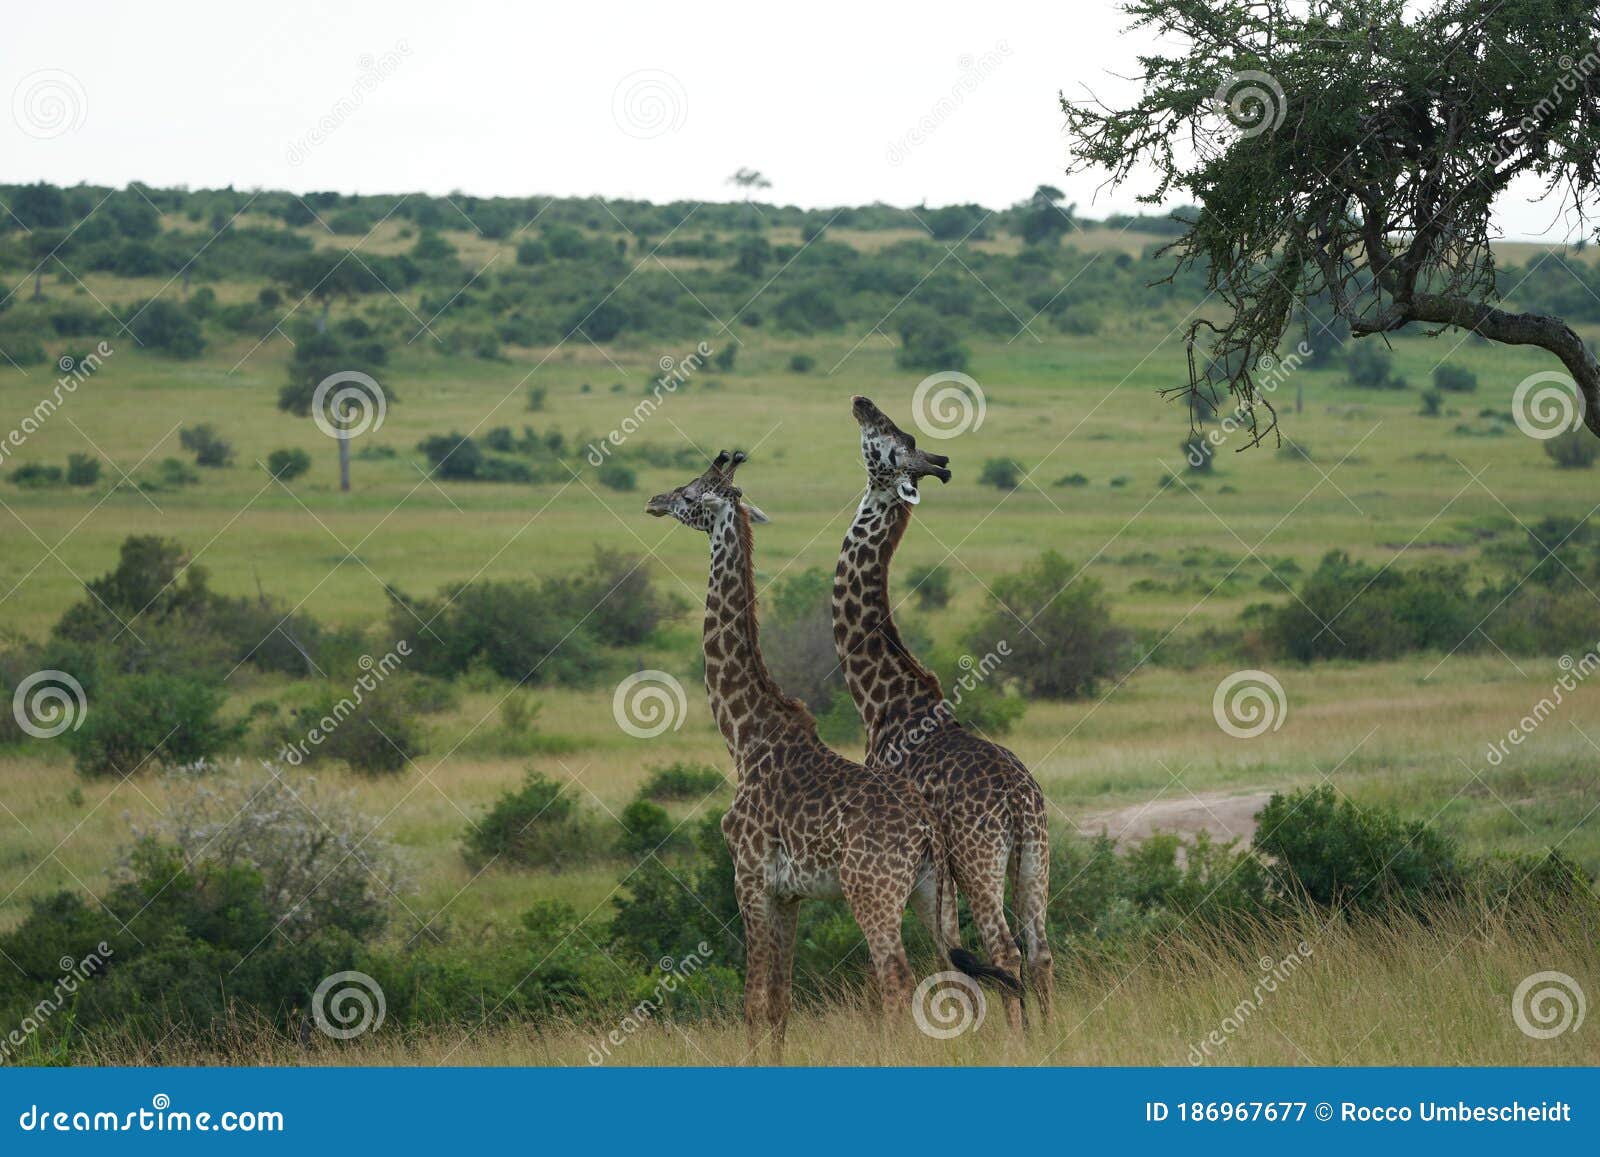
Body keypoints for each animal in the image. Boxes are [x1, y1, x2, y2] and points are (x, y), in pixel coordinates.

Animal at [646, 451, 947, 1056]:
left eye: (690, 493)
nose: (655, 501)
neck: (744, 736)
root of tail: (926, 829)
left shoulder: (749, 878)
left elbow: (753, 1002)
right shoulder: (790, 895)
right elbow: (781, 1002)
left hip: (873, 891)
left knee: (898, 980)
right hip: (930, 892)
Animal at [832, 398, 1056, 1030]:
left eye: (888, 436)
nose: (860, 402)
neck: (881, 701)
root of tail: (1019, 803)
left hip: (980, 859)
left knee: (1006, 948)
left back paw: (1017, 1038)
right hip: (1035, 857)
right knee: (1040, 948)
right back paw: (1052, 1034)